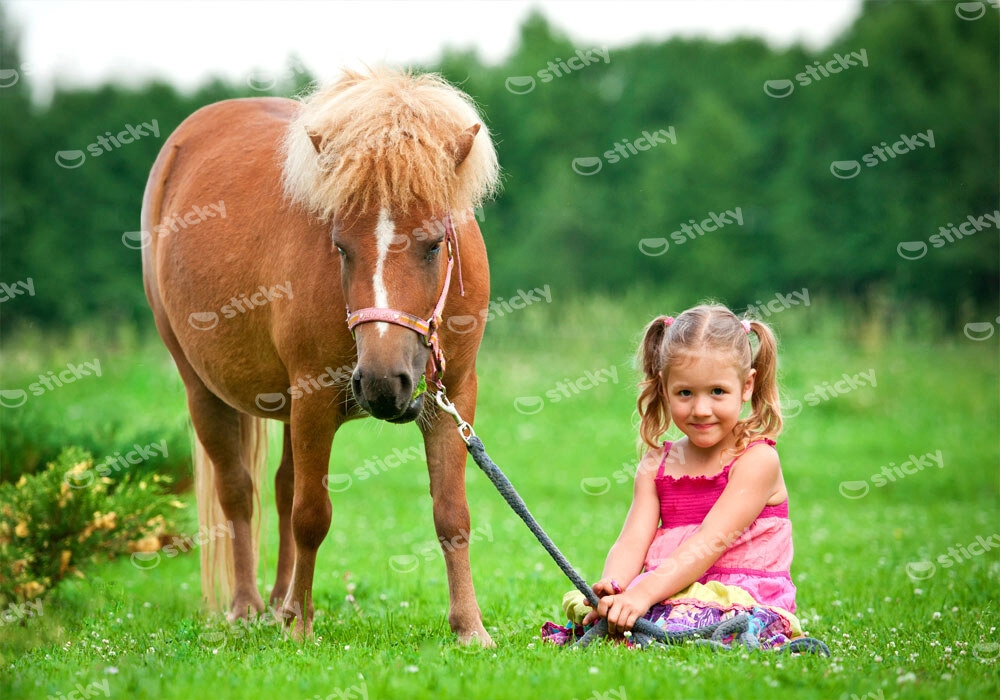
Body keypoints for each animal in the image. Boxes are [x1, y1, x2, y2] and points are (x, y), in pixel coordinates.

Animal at [140, 67, 500, 643]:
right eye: (340, 246)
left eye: (432, 244)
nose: (382, 383)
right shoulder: (312, 397)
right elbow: (311, 514)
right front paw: (300, 626)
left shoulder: (455, 395)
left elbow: (452, 515)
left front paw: (469, 628)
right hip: (205, 390)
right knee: (239, 493)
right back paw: (249, 607)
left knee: (282, 487)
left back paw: (278, 602)